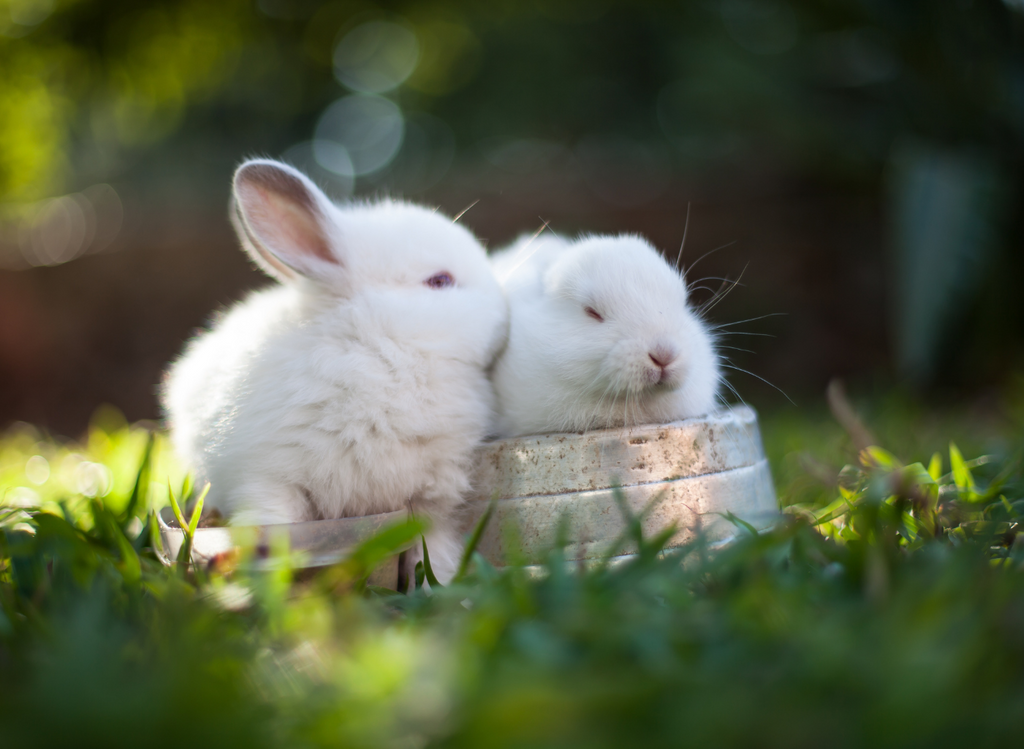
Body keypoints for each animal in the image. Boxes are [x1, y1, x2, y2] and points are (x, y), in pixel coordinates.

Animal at [162, 156, 507, 581]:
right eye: (439, 281)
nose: (505, 311)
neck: (380, 350)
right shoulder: (267, 479)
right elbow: (275, 524)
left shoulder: (432, 500)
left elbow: (434, 552)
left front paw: (439, 585)